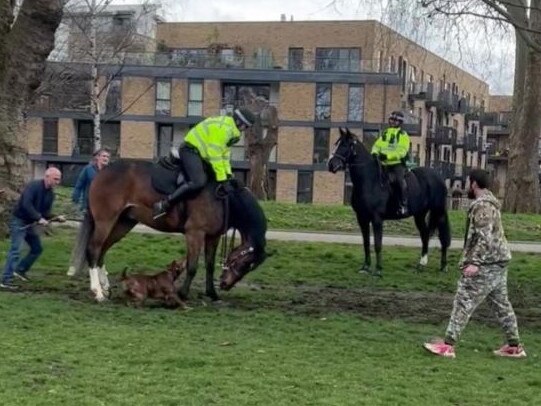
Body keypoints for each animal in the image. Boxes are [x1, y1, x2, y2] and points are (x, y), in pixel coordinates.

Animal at [69, 160, 268, 302]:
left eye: (250, 266)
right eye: (244, 262)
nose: (226, 284)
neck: (223, 198)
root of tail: (101, 172)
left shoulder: (213, 236)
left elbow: (210, 265)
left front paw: (212, 293)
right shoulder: (195, 233)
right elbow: (192, 266)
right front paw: (182, 293)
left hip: (123, 223)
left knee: (102, 250)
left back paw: (105, 288)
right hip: (105, 220)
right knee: (94, 250)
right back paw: (98, 292)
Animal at [326, 127, 450, 276]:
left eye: (344, 145)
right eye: (336, 143)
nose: (331, 165)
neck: (369, 181)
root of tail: (438, 176)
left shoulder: (377, 219)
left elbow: (378, 244)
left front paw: (378, 270)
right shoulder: (362, 218)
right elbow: (366, 243)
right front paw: (365, 267)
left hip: (439, 212)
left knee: (443, 238)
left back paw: (443, 266)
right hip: (419, 214)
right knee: (425, 235)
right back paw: (421, 264)